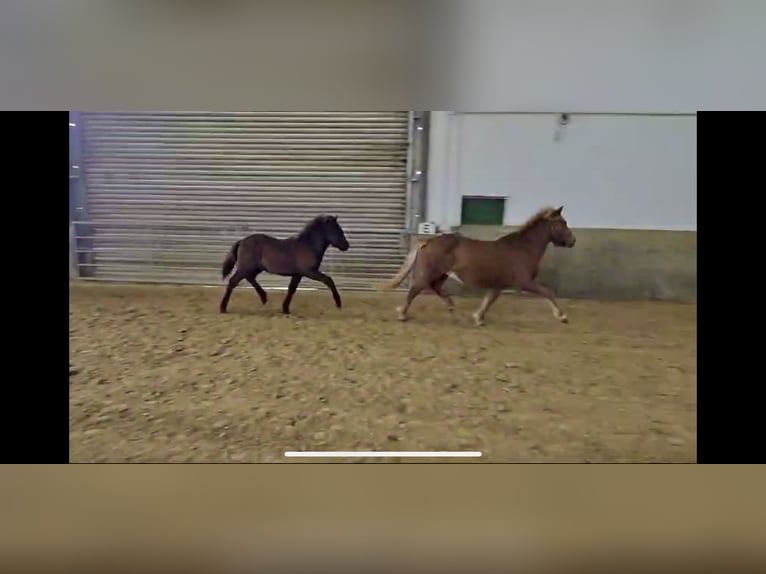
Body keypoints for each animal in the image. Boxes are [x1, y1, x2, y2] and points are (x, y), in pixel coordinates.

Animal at [219, 215, 350, 315]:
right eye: (337, 230)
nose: (346, 245)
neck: (308, 246)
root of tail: (242, 241)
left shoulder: (298, 274)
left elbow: (291, 289)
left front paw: (285, 309)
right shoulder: (309, 272)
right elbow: (328, 280)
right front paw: (338, 303)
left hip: (254, 268)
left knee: (250, 278)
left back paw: (264, 297)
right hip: (246, 268)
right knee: (233, 281)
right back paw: (223, 308)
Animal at [387, 206, 576, 327]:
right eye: (563, 222)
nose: (573, 241)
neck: (523, 248)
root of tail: (427, 241)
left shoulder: (499, 285)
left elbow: (489, 300)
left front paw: (478, 318)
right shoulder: (525, 282)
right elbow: (547, 292)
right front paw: (563, 317)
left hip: (441, 274)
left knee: (435, 288)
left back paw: (451, 306)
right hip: (431, 272)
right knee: (416, 289)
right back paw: (402, 314)